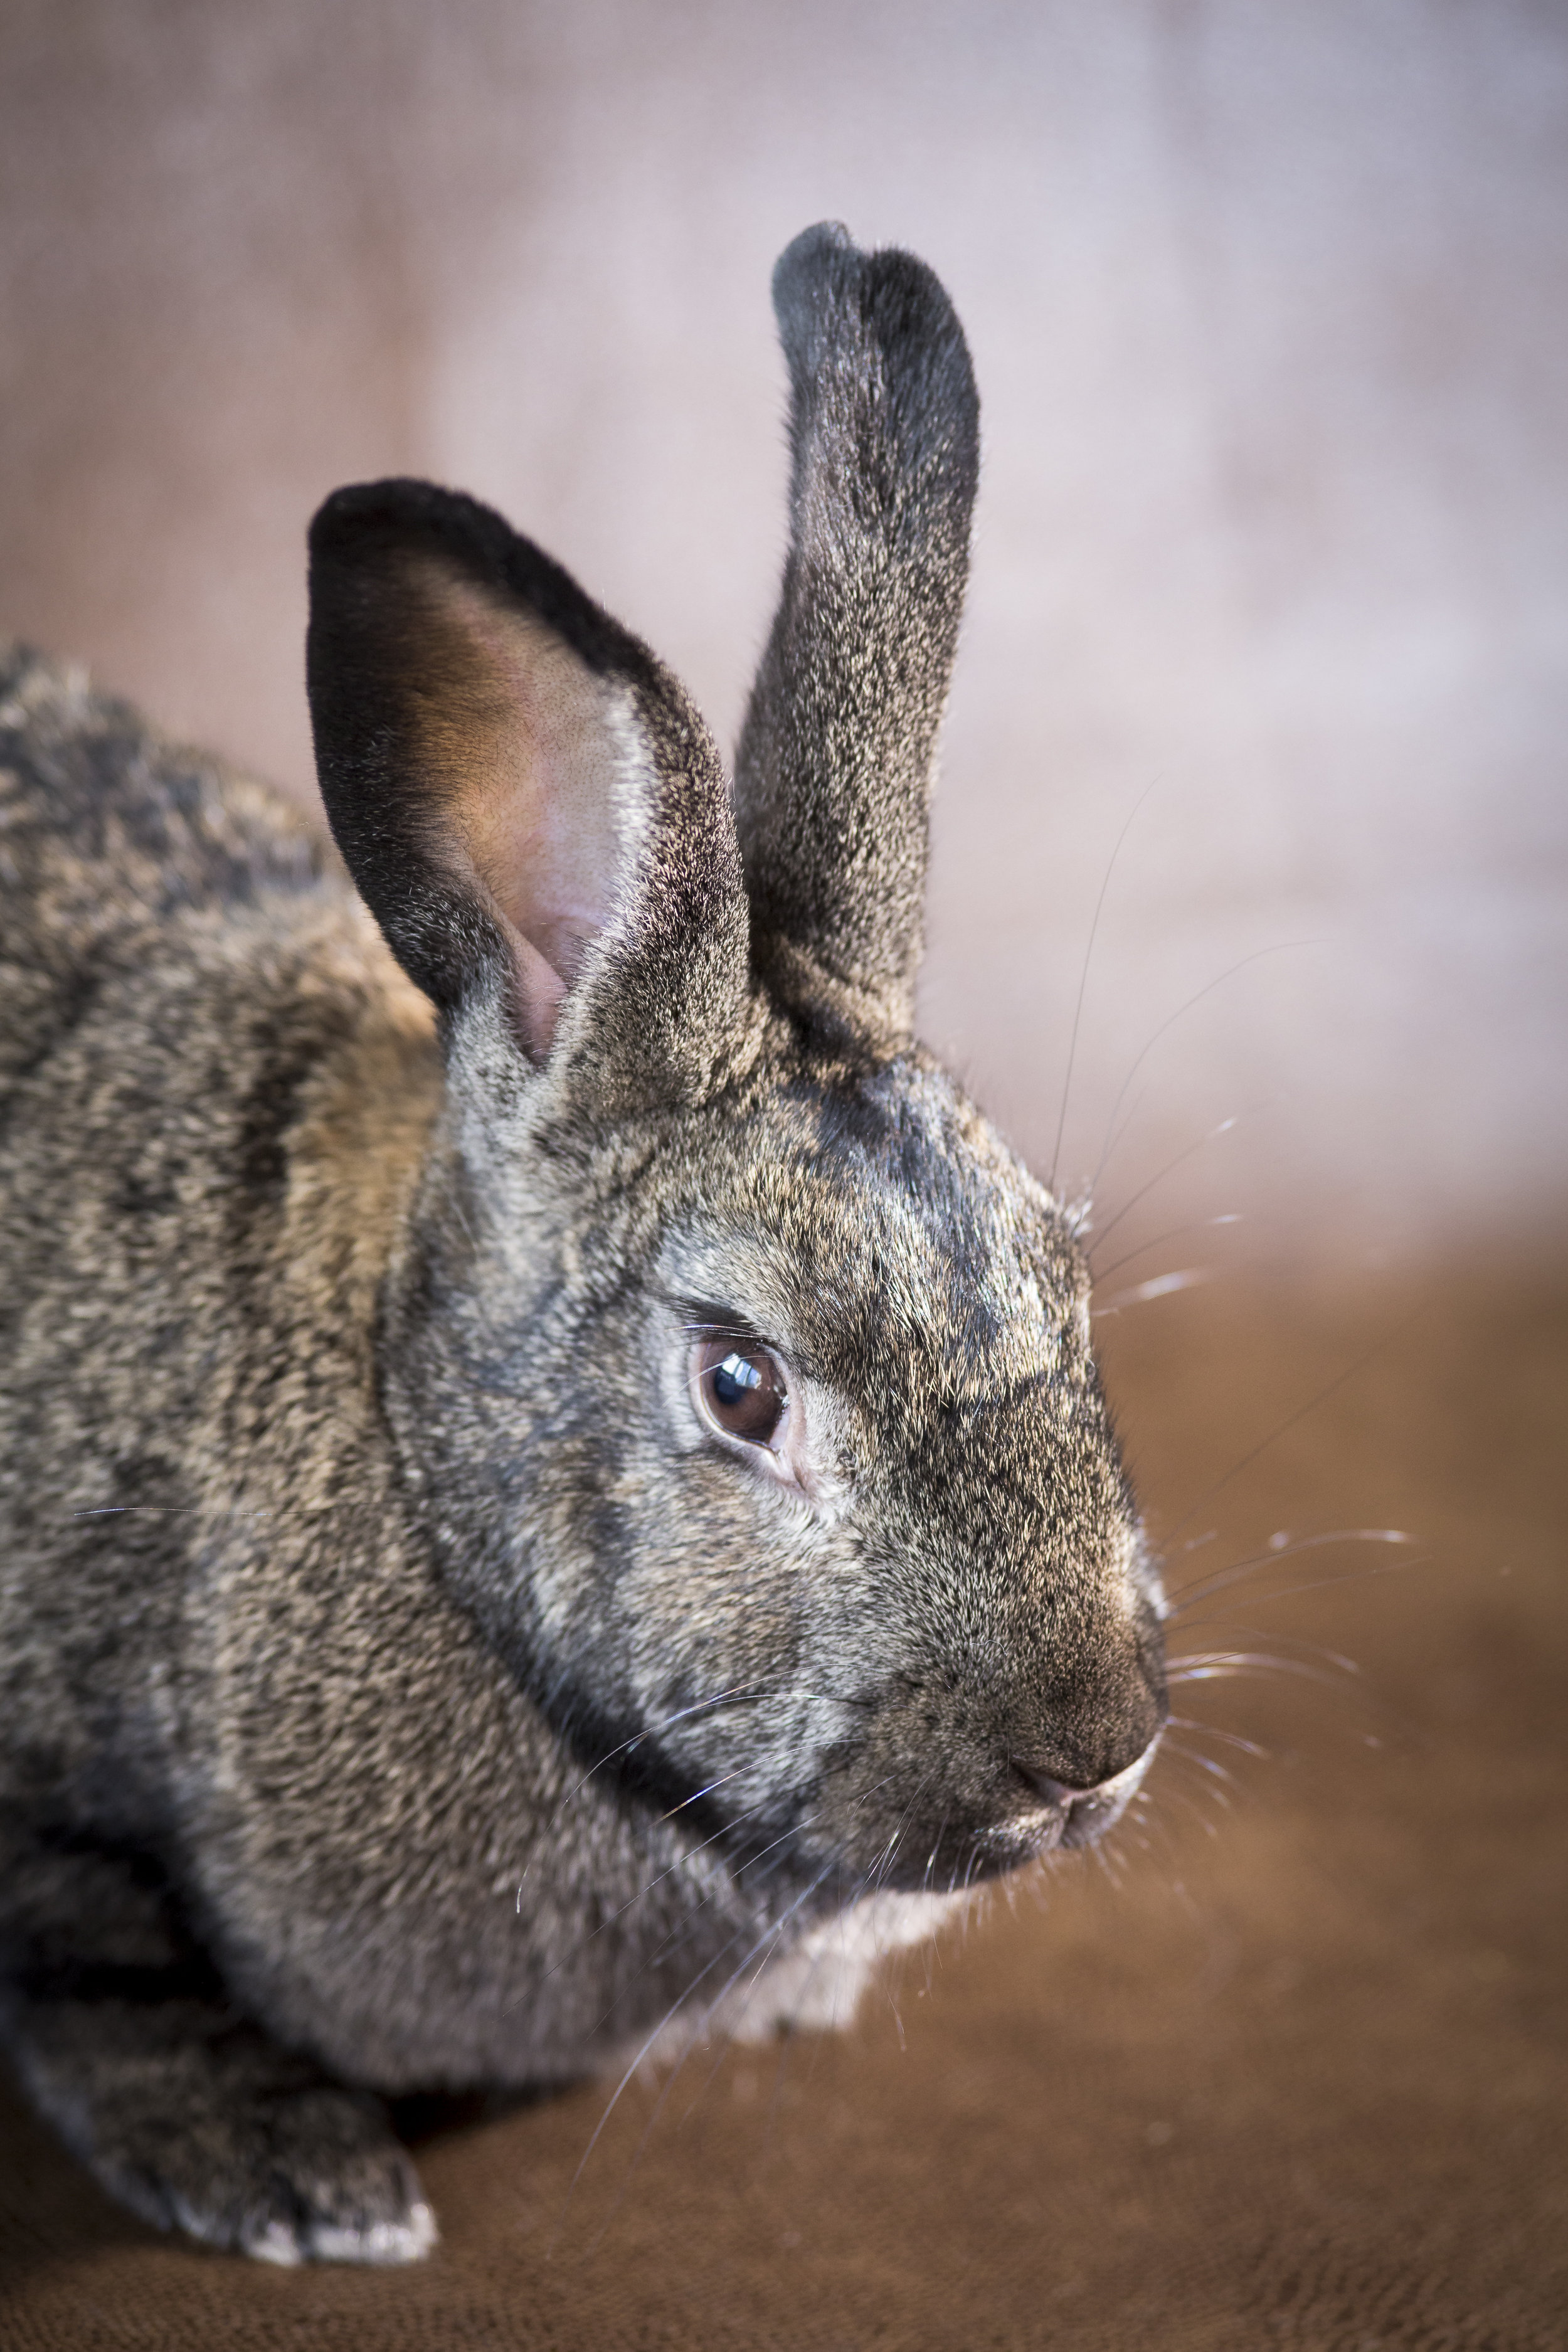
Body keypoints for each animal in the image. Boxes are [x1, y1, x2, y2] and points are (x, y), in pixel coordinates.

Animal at [0, 221, 1166, 2258]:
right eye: (740, 1384)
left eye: (1060, 1265)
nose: (1094, 1745)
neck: (405, 1440)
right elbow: (101, 1969)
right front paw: (292, 2177)